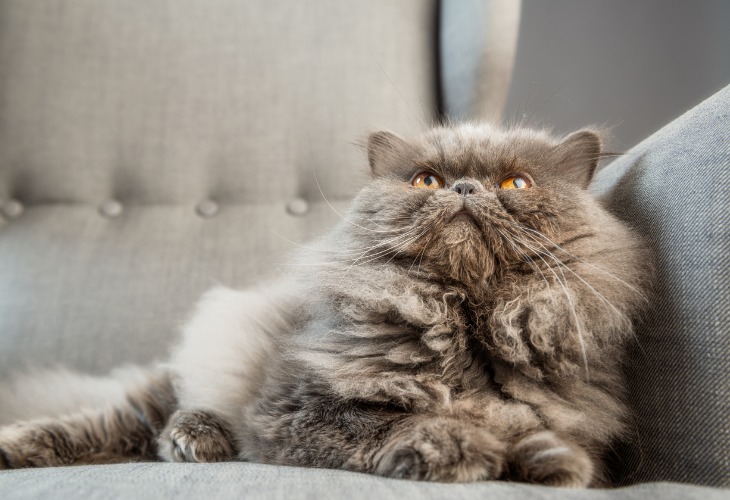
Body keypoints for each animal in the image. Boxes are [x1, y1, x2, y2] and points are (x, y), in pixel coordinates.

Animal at [0, 125, 648, 488]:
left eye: (516, 184)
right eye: (427, 181)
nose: (465, 188)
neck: (459, 328)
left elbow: (547, 442)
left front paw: (551, 463)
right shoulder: (299, 410)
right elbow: (398, 421)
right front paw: (460, 448)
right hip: (189, 371)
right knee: (114, 421)